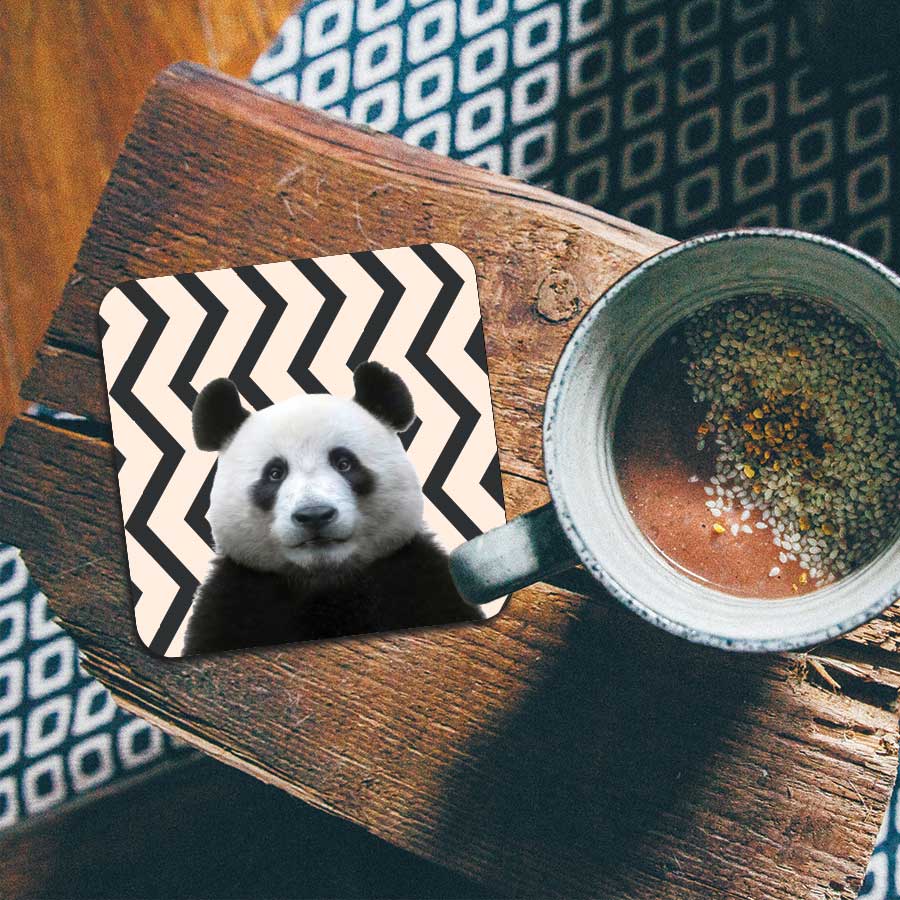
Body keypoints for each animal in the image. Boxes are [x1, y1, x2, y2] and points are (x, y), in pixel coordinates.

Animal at [182, 361, 477, 655]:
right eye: (275, 473)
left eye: (344, 463)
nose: (314, 515)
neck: (325, 580)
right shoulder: (237, 599)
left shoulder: (413, 578)